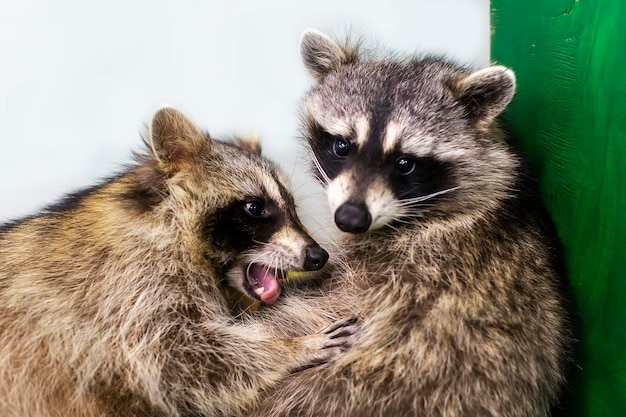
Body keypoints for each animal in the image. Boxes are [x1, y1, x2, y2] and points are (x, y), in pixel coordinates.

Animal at [0, 105, 356, 414]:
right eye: (255, 208)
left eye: (292, 206)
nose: (317, 255)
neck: (172, 223)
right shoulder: (130, 280)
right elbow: (176, 354)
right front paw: (292, 347)